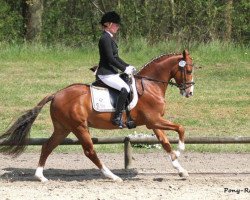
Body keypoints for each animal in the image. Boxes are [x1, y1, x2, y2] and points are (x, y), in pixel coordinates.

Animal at [0, 49, 194, 181]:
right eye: (189, 70)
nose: (189, 93)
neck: (150, 86)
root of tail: (56, 94)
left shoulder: (154, 122)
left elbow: (165, 143)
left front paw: (180, 168)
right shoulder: (154, 120)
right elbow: (180, 128)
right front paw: (181, 150)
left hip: (63, 128)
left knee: (47, 146)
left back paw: (40, 176)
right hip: (79, 126)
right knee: (89, 151)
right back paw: (112, 176)